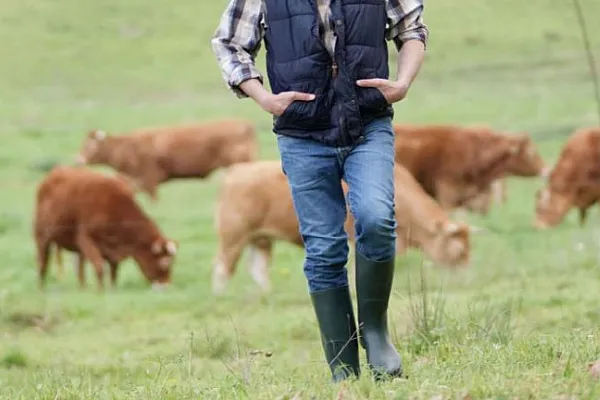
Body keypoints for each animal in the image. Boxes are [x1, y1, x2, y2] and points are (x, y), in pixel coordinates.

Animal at [33, 166, 178, 290]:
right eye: (164, 262)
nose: (166, 286)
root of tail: (53, 174)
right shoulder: (87, 239)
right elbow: (100, 266)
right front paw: (101, 291)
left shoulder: (112, 250)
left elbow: (114, 272)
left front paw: (112, 289)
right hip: (41, 236)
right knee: (42, 263)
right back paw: (41, 288)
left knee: (80, 267)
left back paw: (82, 288)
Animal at [211, 159, 478, 294]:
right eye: (459, 251)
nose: (465, 279)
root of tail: (235, 171)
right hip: (233, 236)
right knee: (222, 268)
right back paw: (221, 296)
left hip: (260, 239)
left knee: (258, 268)